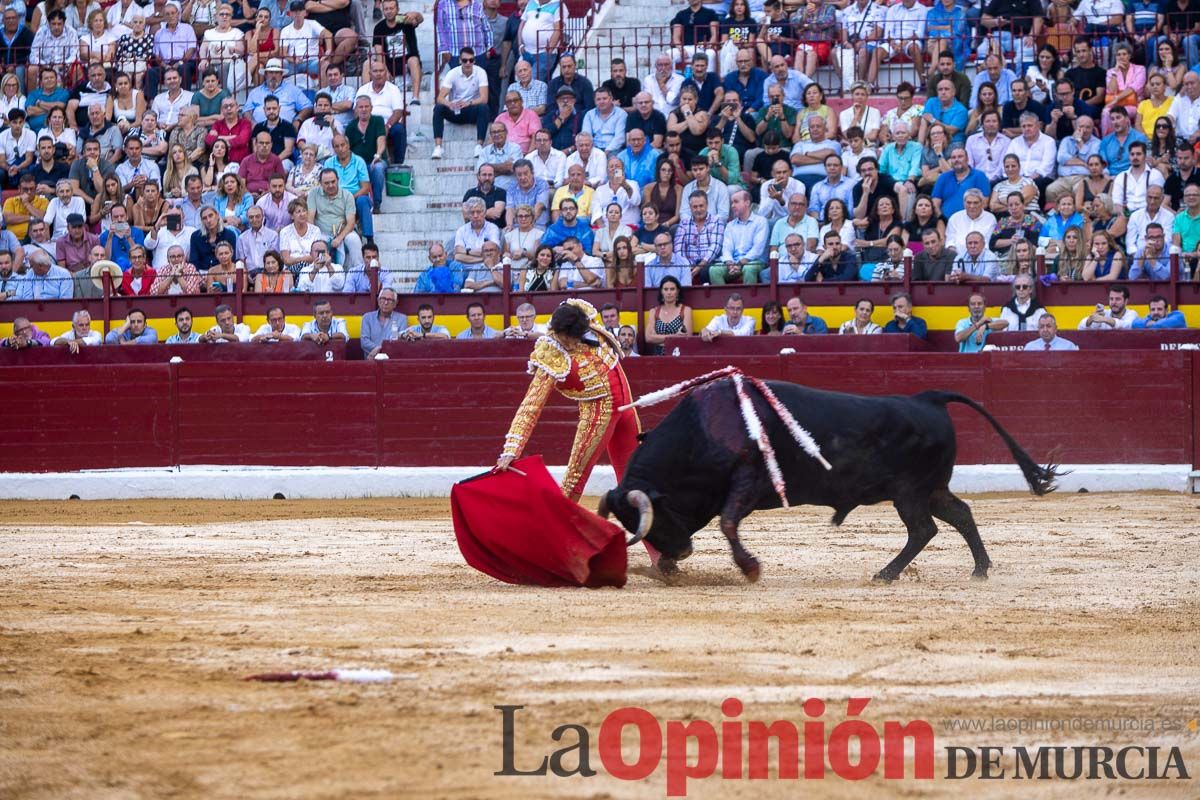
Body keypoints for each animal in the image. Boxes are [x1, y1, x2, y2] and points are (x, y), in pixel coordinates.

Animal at [600, 381, 1060, 582]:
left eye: (655, 515)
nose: (679, 553)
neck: (704, 429)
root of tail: (927, 398)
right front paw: (668, 567)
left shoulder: (746, 482)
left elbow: (729, 523)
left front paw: (750, 568)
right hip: (931, 489)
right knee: (959, 514)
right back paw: (980, 568)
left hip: (909, 492)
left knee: (923, 530)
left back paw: (886, 573)